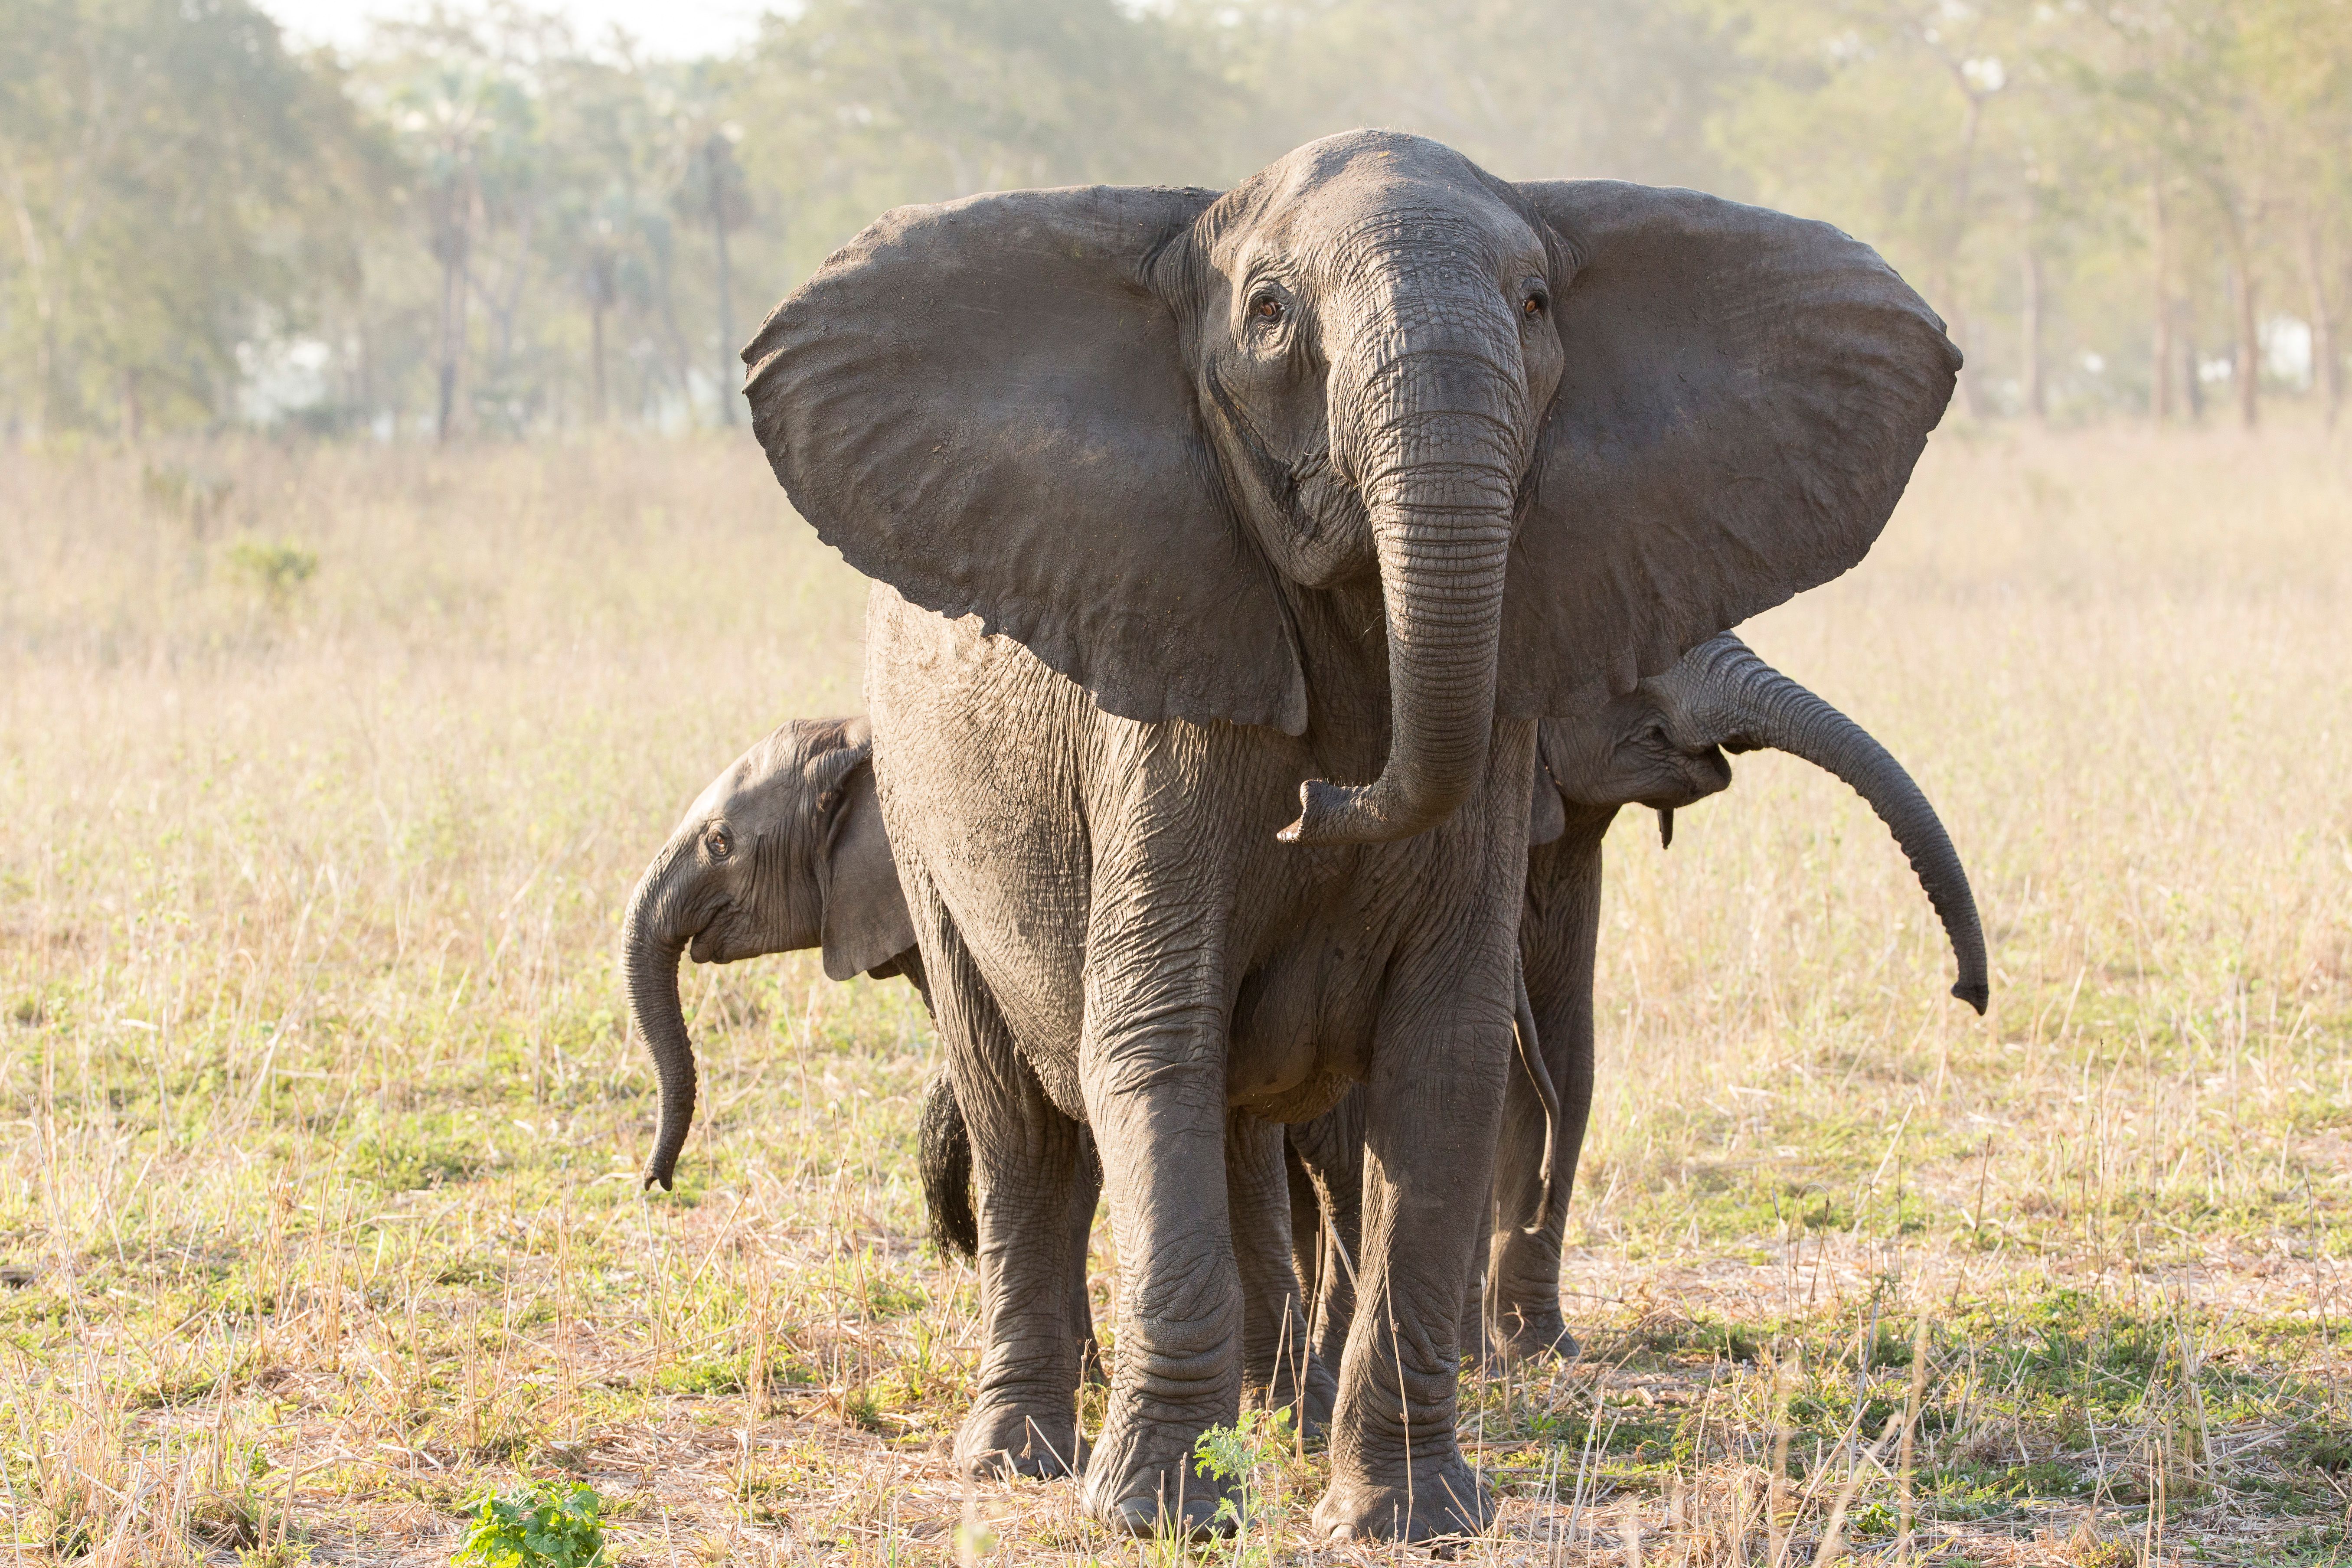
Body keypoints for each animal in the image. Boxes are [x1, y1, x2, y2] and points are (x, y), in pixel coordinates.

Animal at [710, 128, 1959, 1540]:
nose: (1320, 802)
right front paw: (1158, 1514)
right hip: (924, 829)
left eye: (1538, 305)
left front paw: (1405, 1518)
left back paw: (1266, 1413)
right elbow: (1151, 1039)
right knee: (1022, 1125)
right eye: (1266, 314)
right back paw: (1018, 1455)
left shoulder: (1500, 747)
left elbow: (1447, 1065)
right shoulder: (1161, 714)